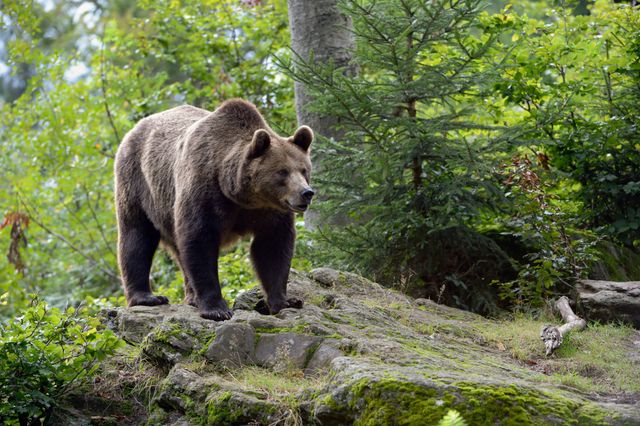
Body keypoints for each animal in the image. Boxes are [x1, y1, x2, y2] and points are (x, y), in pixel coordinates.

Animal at [114, 99, 314, 321]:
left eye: (304, 170)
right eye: (282, 172)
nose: (306, 193)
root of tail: (136, 127)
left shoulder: (270, 210)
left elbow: (273, 247)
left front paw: (285, 301)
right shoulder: (205, 191)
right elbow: (200, 240)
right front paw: (216, 309)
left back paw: (191, 297)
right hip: (138, 183)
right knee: (137, 236)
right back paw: (147, 297)